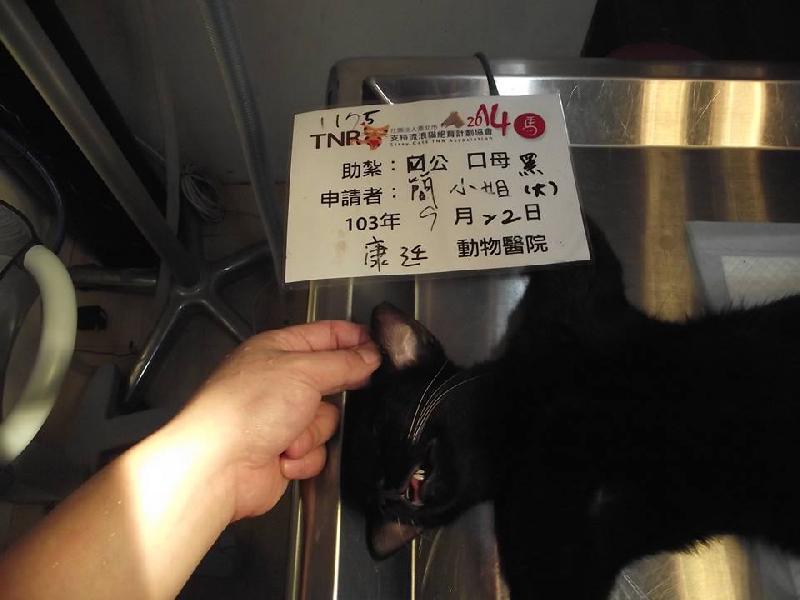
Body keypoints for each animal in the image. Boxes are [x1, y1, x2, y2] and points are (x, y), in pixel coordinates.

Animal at [342, 217, 800, 599]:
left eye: (380, 429)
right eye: (378, 502)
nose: (386, 488)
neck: (515, 424)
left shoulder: (577, 315)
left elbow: (580, 253)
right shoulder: (562, 544)